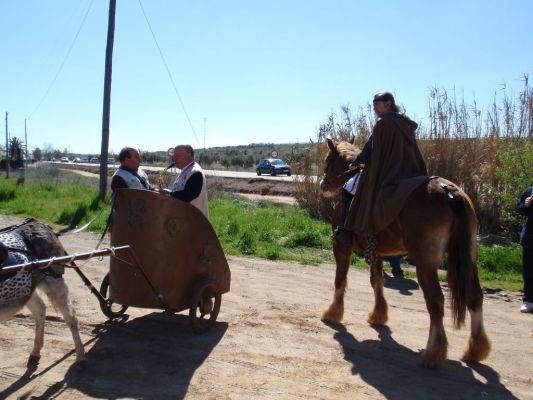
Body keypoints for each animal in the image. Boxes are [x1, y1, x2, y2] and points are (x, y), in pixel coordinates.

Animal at [0, 219, 84, 368]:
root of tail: (39, 223)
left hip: (54, 282)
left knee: (71, 318)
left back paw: (80, 357)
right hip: (28, 288)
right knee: (40, 310)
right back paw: (35, 353)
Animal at [318, 138, 488, 368]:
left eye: (328, 160)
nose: (323, 184)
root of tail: (449, 191)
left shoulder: (341, 247)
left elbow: (340, 280)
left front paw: (333, 313)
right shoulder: (377, 251)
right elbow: (377, 281)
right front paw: (378, 315)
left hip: (425, 263)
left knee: (436, 301)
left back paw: (433, 352)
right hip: (469, 259)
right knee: (475, 297)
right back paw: (475, 349)